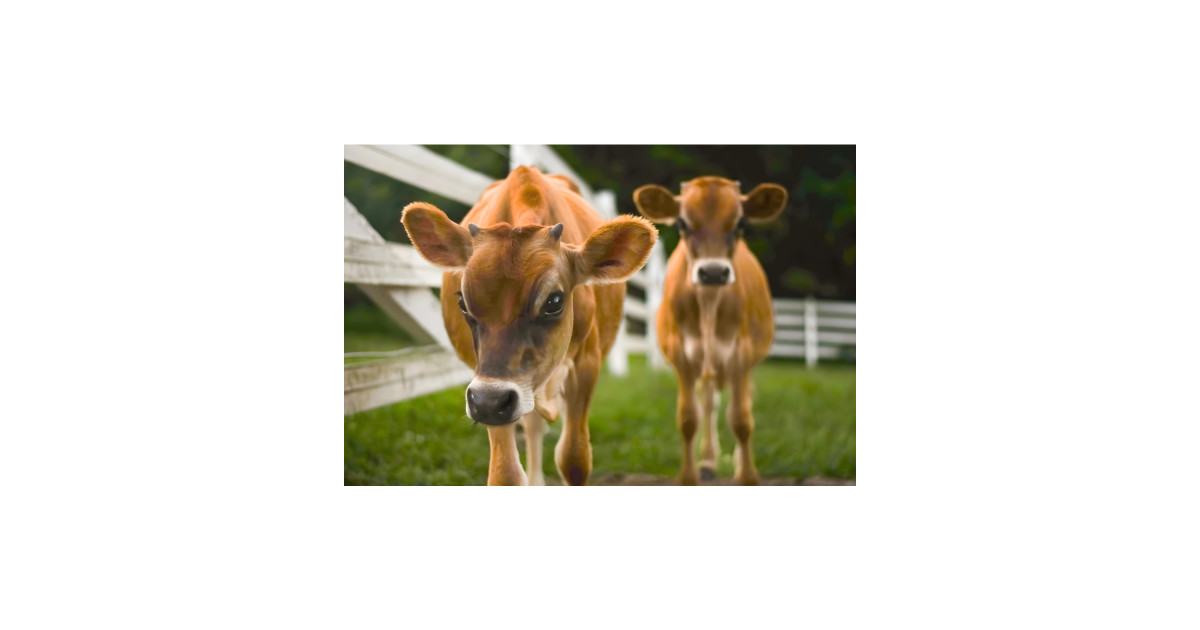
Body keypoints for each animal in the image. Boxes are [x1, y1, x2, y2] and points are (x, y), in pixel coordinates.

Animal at [401, 166, 658, 486]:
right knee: (533, 426)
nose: (489, 401)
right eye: (462, 301)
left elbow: (574, 459)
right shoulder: (486, 388)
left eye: (554, 301)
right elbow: (506, 475)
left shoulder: (586, 364)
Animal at [633, 176, 787, 485]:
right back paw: (708, 462)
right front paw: (689, 476)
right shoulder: (681, 357)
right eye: (682, 223)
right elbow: (688, 418)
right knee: (708, 406)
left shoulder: (741, 355)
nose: (713, 272)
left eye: (741, 223)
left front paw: (747, 476)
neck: (708, 308)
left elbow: (741, 419)